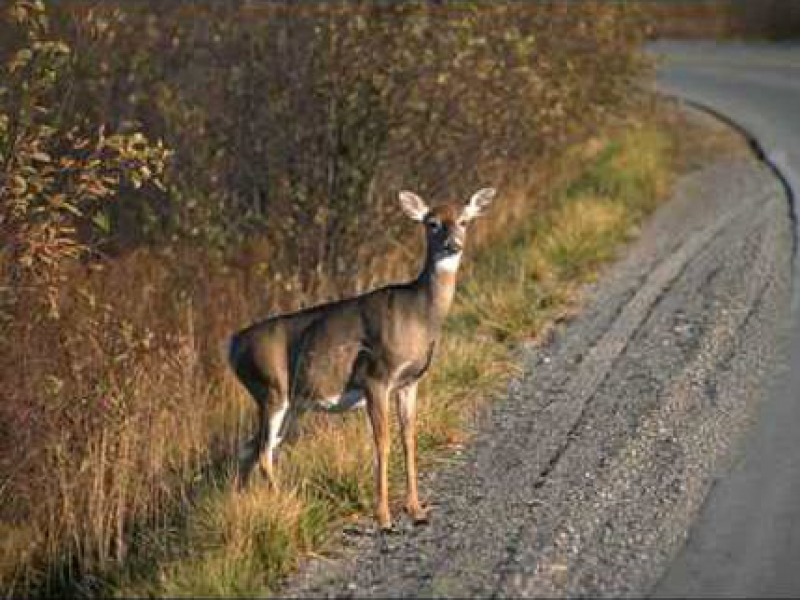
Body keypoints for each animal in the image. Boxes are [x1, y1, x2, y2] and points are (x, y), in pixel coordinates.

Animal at [228, 186, 496, 528]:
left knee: (251, 449)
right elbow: (382, 442)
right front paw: (384, 517)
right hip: (270, 390)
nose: (453, 244)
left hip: (290, 404)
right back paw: (281, 507)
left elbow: (408, 438)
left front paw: (417, 509)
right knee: (262, 453)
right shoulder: (375, 377)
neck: (418, 316)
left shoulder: (409, 382)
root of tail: (233, 345)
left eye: (464, 221)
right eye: (432, 223)